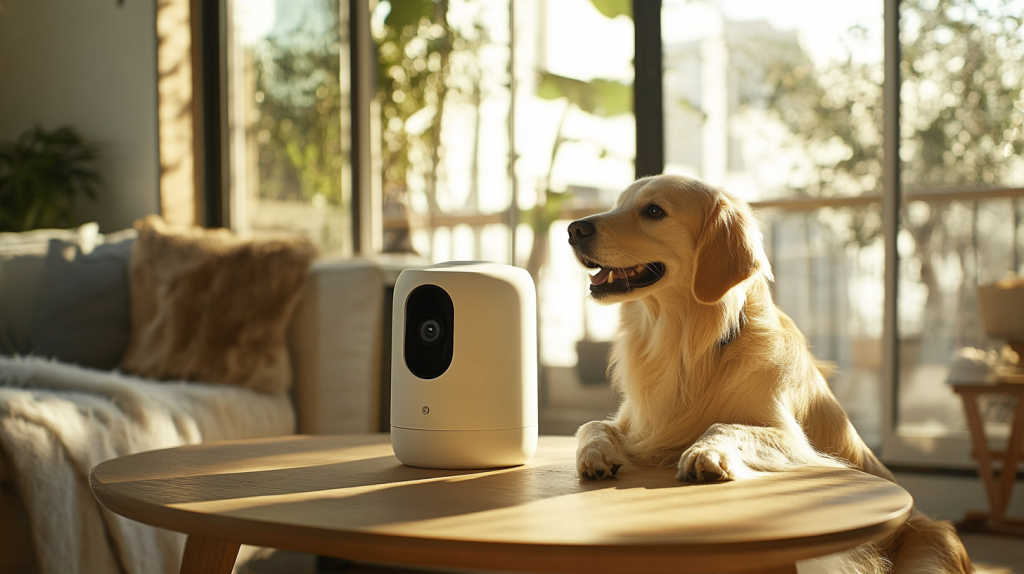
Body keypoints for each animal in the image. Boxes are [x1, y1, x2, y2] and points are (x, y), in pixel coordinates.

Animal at [573, 174, 970, 572]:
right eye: (619, 203)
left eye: (654, 211)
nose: (573, 229)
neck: (690, 346)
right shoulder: (638, 424)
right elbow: (591, 425)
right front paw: (595, 454)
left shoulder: (795, 441)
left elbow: (724, 425)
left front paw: (705, 453)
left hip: (932, 546)